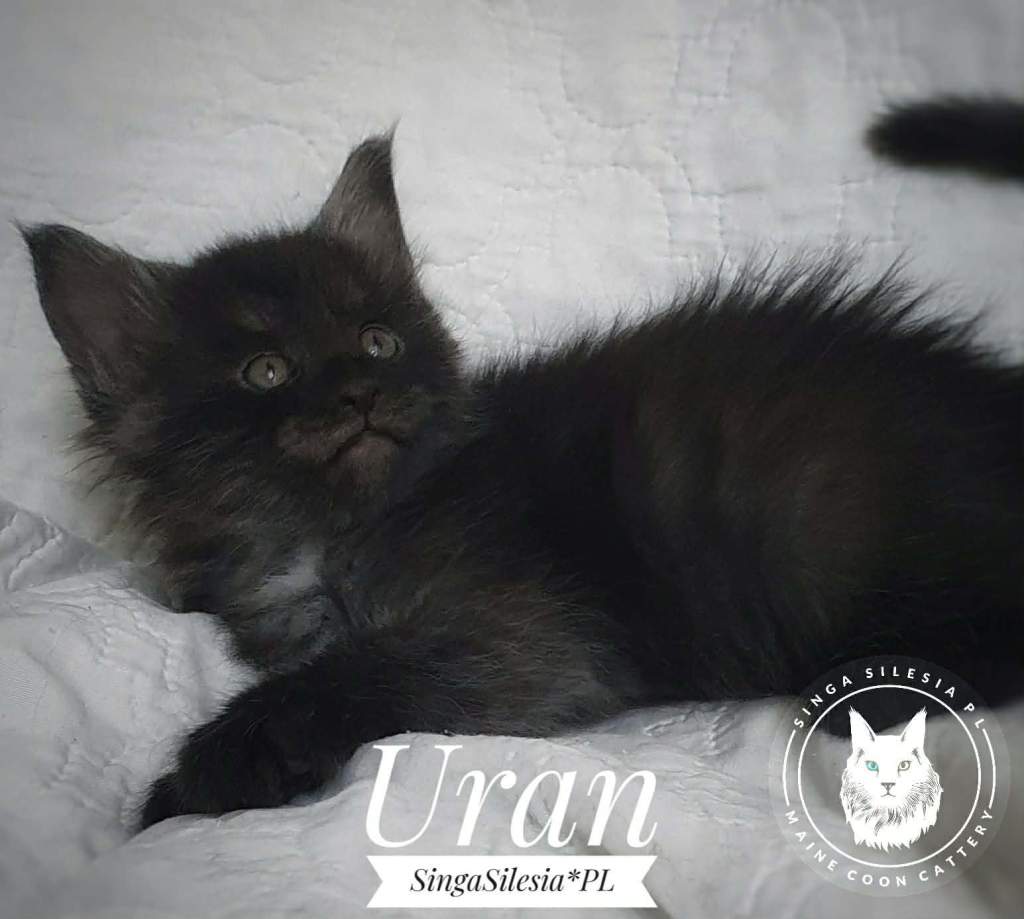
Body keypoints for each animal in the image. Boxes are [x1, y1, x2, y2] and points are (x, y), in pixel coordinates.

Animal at [22, 134, 1023, 831]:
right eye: (265, 371)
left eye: (379, 340)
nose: (360, 392)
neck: (319, 538)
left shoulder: (532, 634)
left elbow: (363, 669)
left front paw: (201, 773)